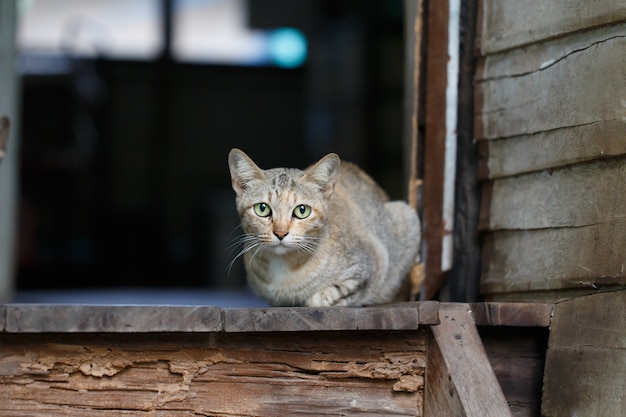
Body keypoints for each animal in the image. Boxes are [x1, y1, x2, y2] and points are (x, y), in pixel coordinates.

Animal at [227, 147, 416, 306]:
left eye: (302, 210)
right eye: (262, 208)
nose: (280, 233)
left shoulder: (372, 263)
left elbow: (336, 293)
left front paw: (319, 298)